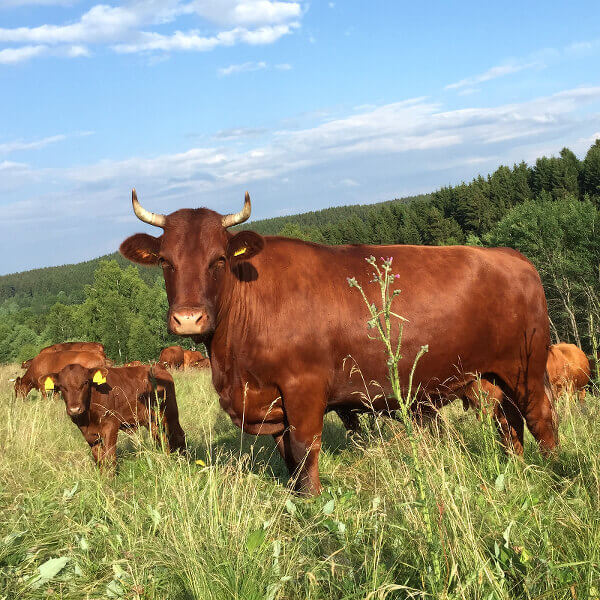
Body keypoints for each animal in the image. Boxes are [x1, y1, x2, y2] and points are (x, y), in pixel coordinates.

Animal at [36, 364, 185, 472]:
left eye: (85, 382)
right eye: (61, 386)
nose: (74, 409)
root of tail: (158, 367)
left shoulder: (111, 425)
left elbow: (109, 455)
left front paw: (111, 480)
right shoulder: (89, 434)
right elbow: (98, 457)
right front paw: (103, 477)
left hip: (169, 413)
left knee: (178, 434)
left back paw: (182, 459)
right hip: (152, 420)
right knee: (160, 437)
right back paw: (166, 457)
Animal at [119, 190, 556, 494]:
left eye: (219, 259)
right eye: (165, 261)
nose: (189, 318)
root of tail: (508, 255)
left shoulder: (304, 389)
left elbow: (304, 451)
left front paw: (314, 504)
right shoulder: (272, 402)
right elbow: (288, 459)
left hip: (527, 367)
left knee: (540, 418)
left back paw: (554, 472)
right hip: (490, 377)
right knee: (508, 422)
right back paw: (516, 467)